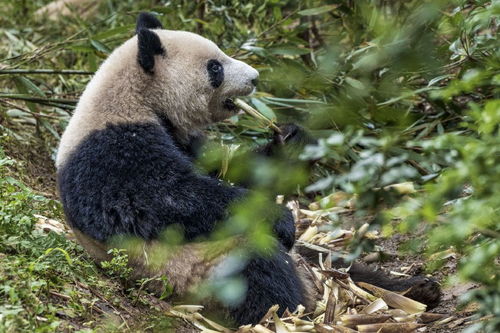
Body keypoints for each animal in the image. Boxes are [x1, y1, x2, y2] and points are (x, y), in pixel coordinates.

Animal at [55, 12, 442, 324]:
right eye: (215, 67)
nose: (255, 78)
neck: (137, 97)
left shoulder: (184, 138)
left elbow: (230, 171)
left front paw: (291, 140)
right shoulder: (110, 149)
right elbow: (162, 199)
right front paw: (281, 219)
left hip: (306, 259)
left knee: (336, 262)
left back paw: (413, 289)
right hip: (197, 270)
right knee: (259, 269)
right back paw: (293, 311)